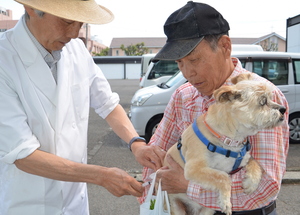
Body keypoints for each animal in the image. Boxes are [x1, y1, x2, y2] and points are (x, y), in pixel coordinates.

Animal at [165, 73, 288, 214]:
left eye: (272, 98)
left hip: (207, 210)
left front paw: (251, 183)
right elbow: (223, 177)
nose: (283, 109)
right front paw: (226, 202)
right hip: (176, 206)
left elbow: (256, 163)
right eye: (262, 101)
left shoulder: (244, 158)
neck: (230, 140)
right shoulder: (194, 169)